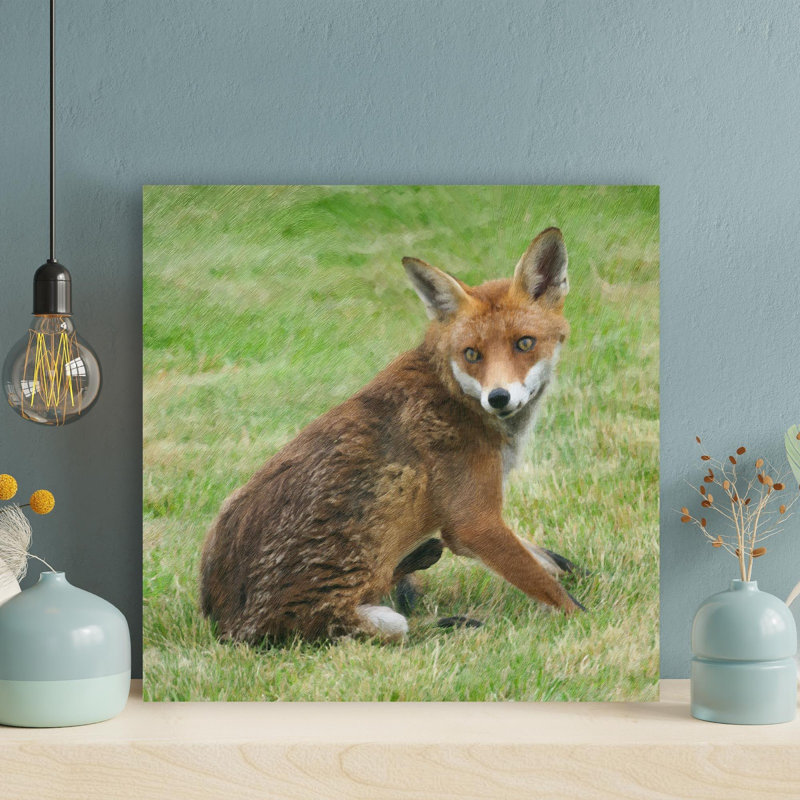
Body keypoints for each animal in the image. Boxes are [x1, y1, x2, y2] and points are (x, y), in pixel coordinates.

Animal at [200, 226, 583, 644]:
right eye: (472, 354)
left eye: (524, 343)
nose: (498, 397)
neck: (455, 395)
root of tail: (223, 628)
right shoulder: (474, 524)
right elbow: (555, 593)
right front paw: (589, 620)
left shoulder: (471, 523)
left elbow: (541, 560)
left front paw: (572, 569)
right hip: (358, 618)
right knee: (398, 625)